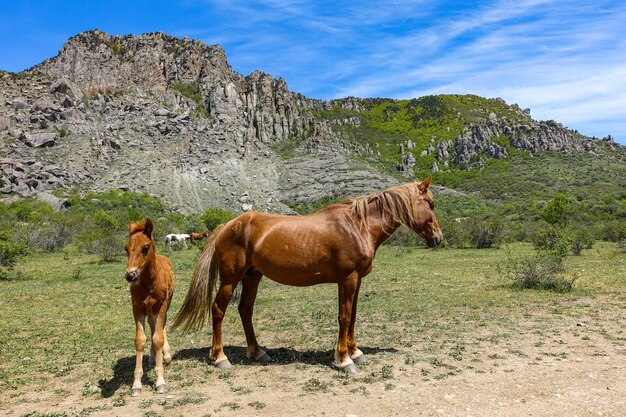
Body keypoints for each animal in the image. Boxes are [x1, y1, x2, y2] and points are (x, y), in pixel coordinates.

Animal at [124, 219, 174, 394]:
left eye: (145, 248)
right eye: (126, 249)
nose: (130, 275)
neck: (150, 282)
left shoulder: (161, 305)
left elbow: (158, 338)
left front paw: (160, 381)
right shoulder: (137, 307)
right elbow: (140, 340)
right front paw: (136, 384)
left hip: (164, 305)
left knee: (161, 326)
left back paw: (166, 356)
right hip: (149, 309)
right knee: (153, 326)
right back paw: (153, 358)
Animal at [172, 177, 438, 372]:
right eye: (431, 204)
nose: (438, 237)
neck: (358, 226)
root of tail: (227, 225)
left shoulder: (357, 280)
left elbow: (352, 316)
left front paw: (356, 352)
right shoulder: (348, 279)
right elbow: (344, 317)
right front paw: (344, 360)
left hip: (252, 276)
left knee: (245, 310)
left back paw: (257, 352)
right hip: (230, 278)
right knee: (218, 310)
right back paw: (220, 357)